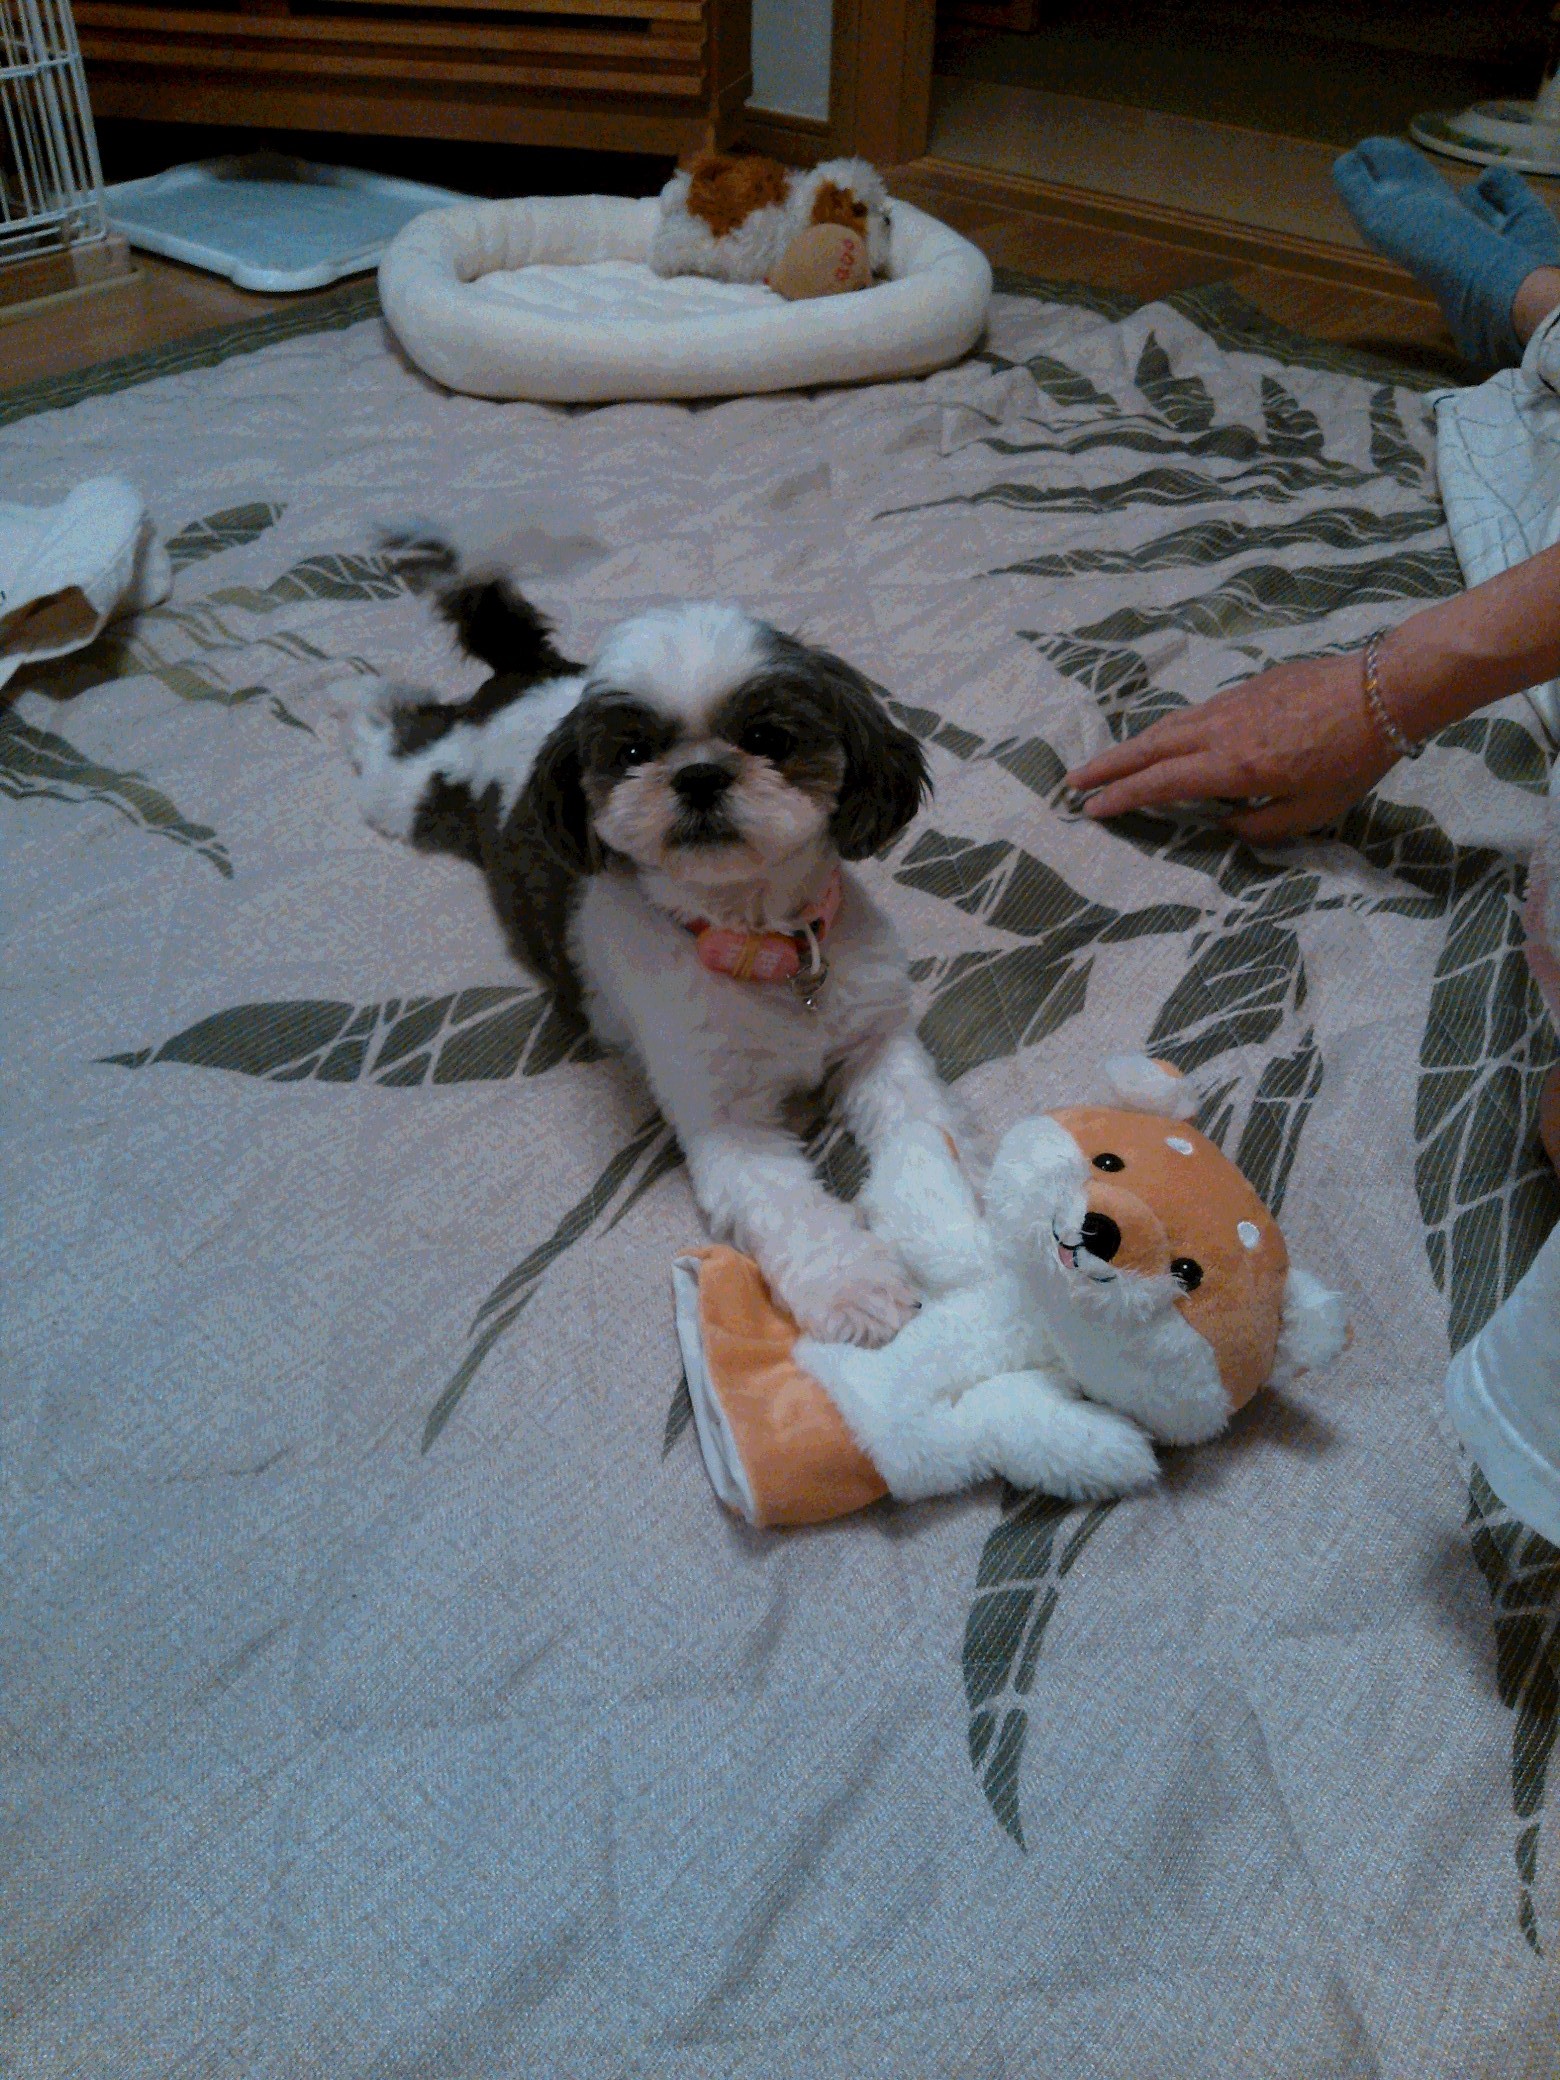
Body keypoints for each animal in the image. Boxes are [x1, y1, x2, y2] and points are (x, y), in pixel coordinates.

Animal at [346, 540, 961, 1346]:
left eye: (766, 739)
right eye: (634, 751)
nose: (699, 775)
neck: (760, 944)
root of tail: (524, 677)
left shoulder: (876, 1043)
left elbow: (923, 1141)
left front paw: (944, 1231)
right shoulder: (723, 1116)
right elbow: (792, 1210)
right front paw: (856, 1289)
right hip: (412, 794)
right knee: (394, 741)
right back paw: (359, 694)